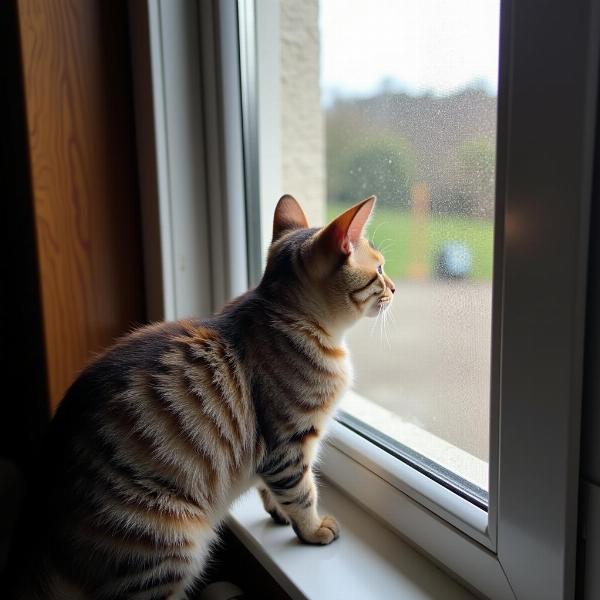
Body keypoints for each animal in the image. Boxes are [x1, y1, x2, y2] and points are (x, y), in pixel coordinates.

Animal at [9, 195, 396, 596]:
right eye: (380, 269)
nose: (395, 287)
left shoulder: (272, 456)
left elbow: (272, 489)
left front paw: (278, 512)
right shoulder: (289, 445)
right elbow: (302, 493)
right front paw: (312, 528)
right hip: (164, 553)